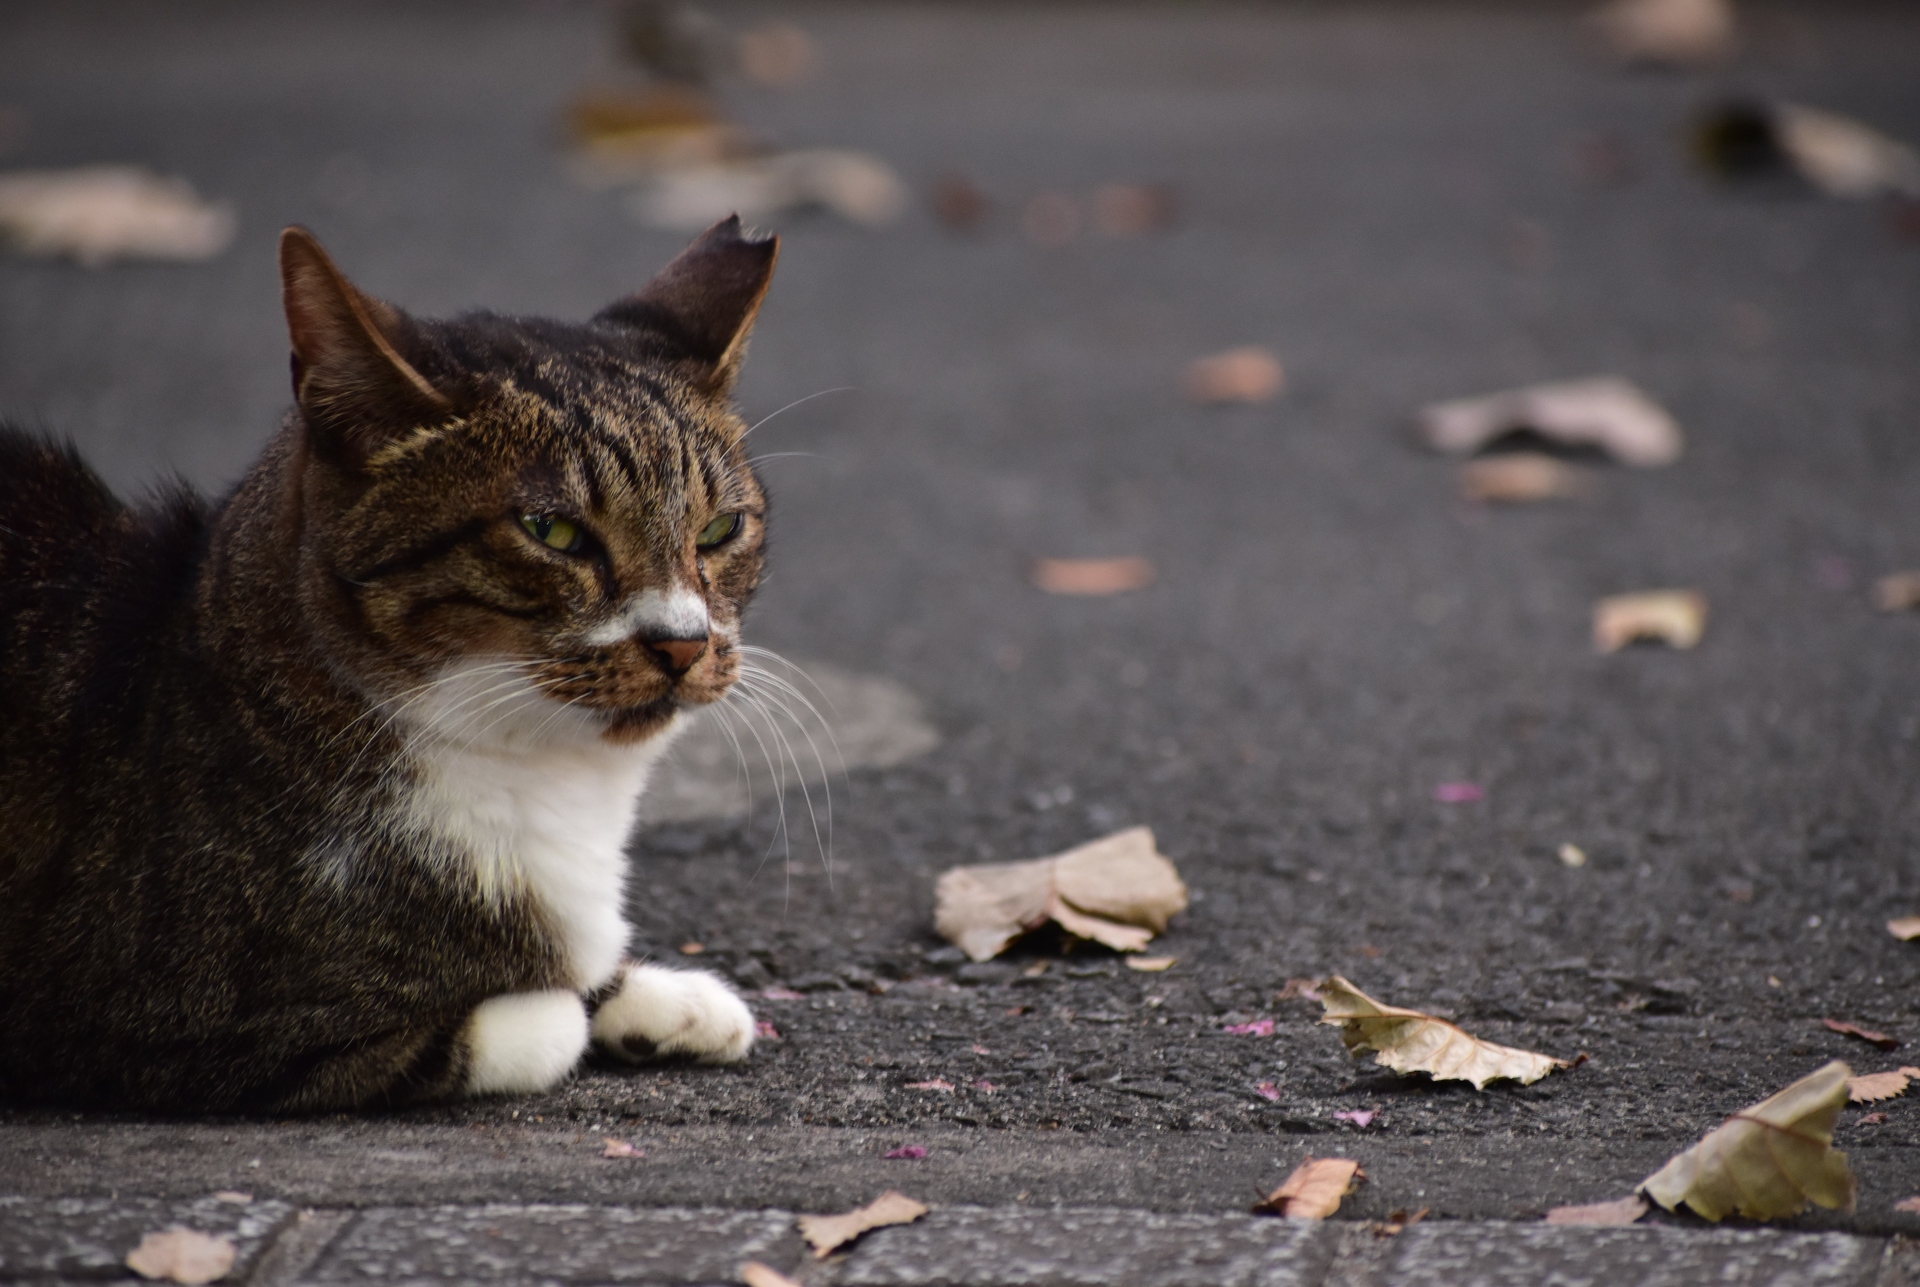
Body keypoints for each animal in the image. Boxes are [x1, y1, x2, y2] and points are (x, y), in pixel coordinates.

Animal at [1, 217, 779, 1114]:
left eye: (721, 529)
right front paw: (566, 1003)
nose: (683, 642)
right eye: (551, 531)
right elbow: (537, 1020)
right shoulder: (169, 1025)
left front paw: (674, 1001)